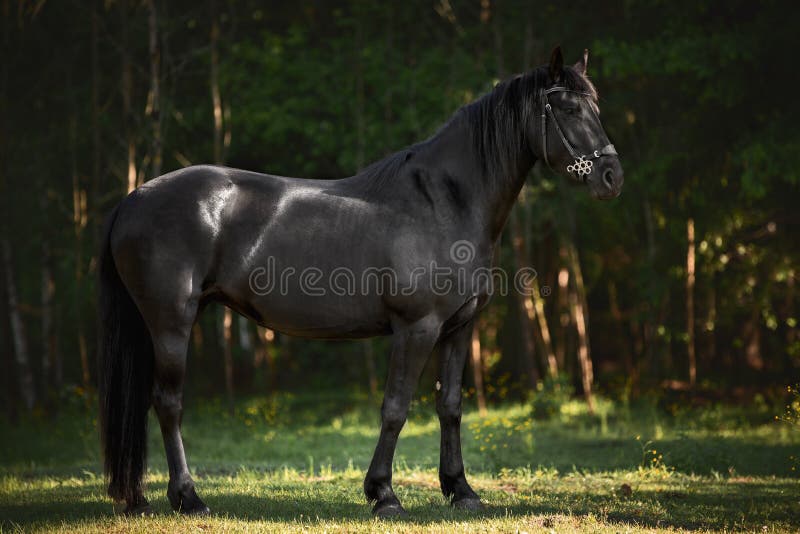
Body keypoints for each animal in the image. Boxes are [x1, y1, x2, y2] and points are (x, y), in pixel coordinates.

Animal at [98, 49, 624, 520]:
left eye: (595, 108)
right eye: (569, 109)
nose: (611, 177)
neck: (443, 202)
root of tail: (134, 198)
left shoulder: (459, 328)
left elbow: (450, 406)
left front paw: (461, 490)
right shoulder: (417, 328)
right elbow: (396, 407)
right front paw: (383, 494)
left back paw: (142, 498)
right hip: (171, 321)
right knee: (168, 404)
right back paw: (189, 498)